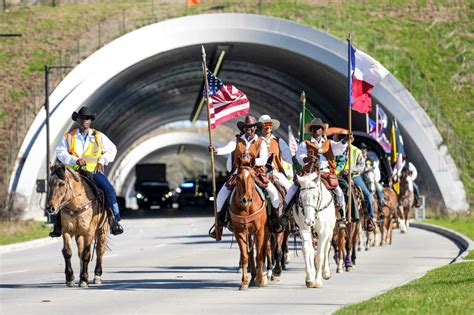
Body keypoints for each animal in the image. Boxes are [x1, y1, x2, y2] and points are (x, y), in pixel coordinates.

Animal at [231, 156, 270, 292]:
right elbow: (245, 256)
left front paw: (260, 279)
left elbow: (259, 255)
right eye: (238, 177)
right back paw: (253, 276)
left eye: (253, 177)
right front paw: (244, 282)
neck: (247, 208)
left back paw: (264, 275)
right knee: (251, 252)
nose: (246, 199)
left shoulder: (260, 232)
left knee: (265, 249)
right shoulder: (239, 232)